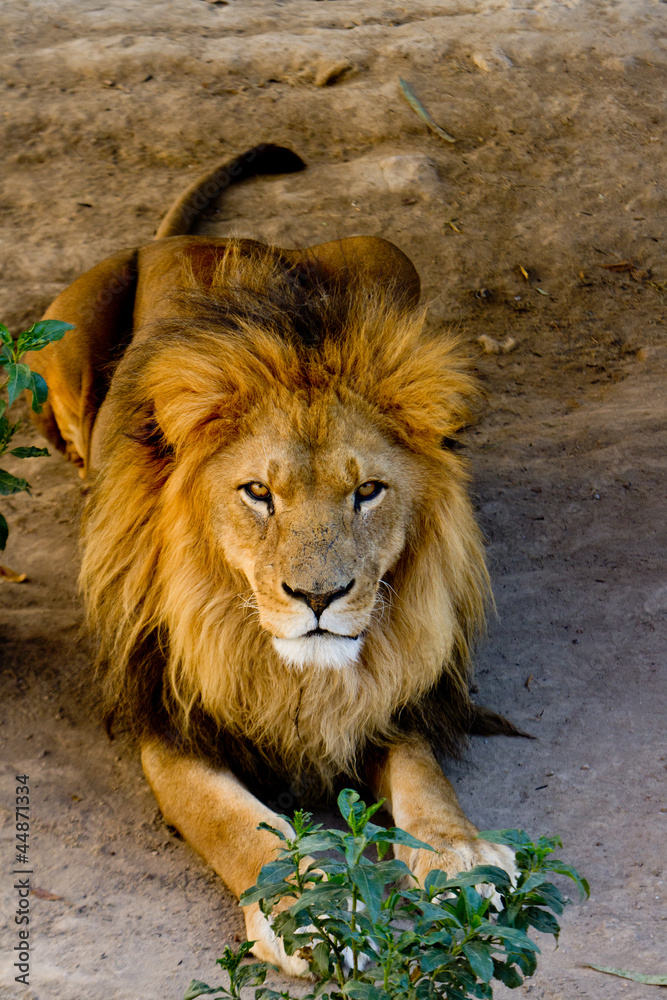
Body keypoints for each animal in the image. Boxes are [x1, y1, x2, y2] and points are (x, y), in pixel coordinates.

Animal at [27, 144, 518, 974]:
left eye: (367, 491)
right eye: (257, 492)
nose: (318, 598)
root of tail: (182, 241)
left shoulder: (389, 686)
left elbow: (421, 773)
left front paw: (459, 855)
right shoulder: (164, 713)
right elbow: (228, 818)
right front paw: (301, 908)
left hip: (384, 254)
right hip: (55, 344)